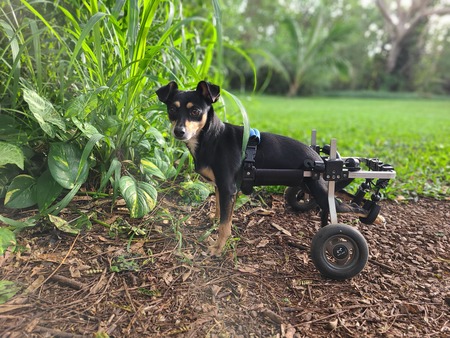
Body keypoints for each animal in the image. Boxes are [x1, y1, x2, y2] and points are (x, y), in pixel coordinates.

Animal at [156, 82, 368, 255]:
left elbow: (225, 225)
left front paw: (218, 247)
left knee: (350, 208)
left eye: (195, 111)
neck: (212, 137)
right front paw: (215, 221)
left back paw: (367, 214)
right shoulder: (222, 188)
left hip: (322, 192)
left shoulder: (228, 188)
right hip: (310, 187)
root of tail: (318, 159)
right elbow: (221, 212)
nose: (179, 131)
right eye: (172, 110)